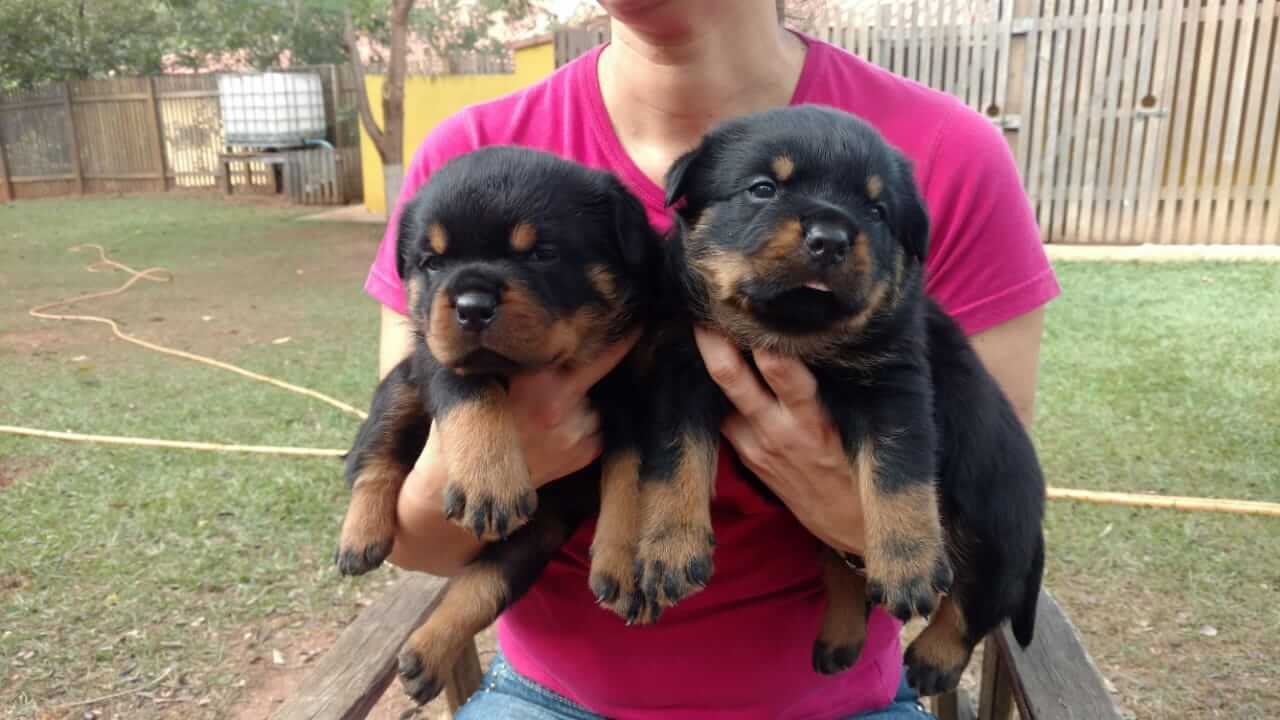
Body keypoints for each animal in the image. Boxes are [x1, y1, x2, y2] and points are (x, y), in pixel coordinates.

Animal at [335, 144, 660, 702]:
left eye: (541, 254)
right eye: (431, 262)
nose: (471, 307)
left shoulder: (630, 388)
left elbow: (630, 475)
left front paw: (624, 556)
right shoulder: (436, 356)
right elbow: (473, 393)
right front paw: (490, 480)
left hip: (540, 529)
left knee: (488, 580)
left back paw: (431, 649)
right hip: (403, 381)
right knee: (374, 454)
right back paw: (361, 533)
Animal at [614, 106, 1044, 696]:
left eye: (877, 210)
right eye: (763, 189)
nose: (832, 237)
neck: (790, 340)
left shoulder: (894, 386)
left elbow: (898, 477)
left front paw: (907, 562)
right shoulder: (681, 374)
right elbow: (675, 464)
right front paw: (671, 546)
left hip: (996, 520)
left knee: (977, 598)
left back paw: (933, 656)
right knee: (845, 573)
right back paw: (839, 639)